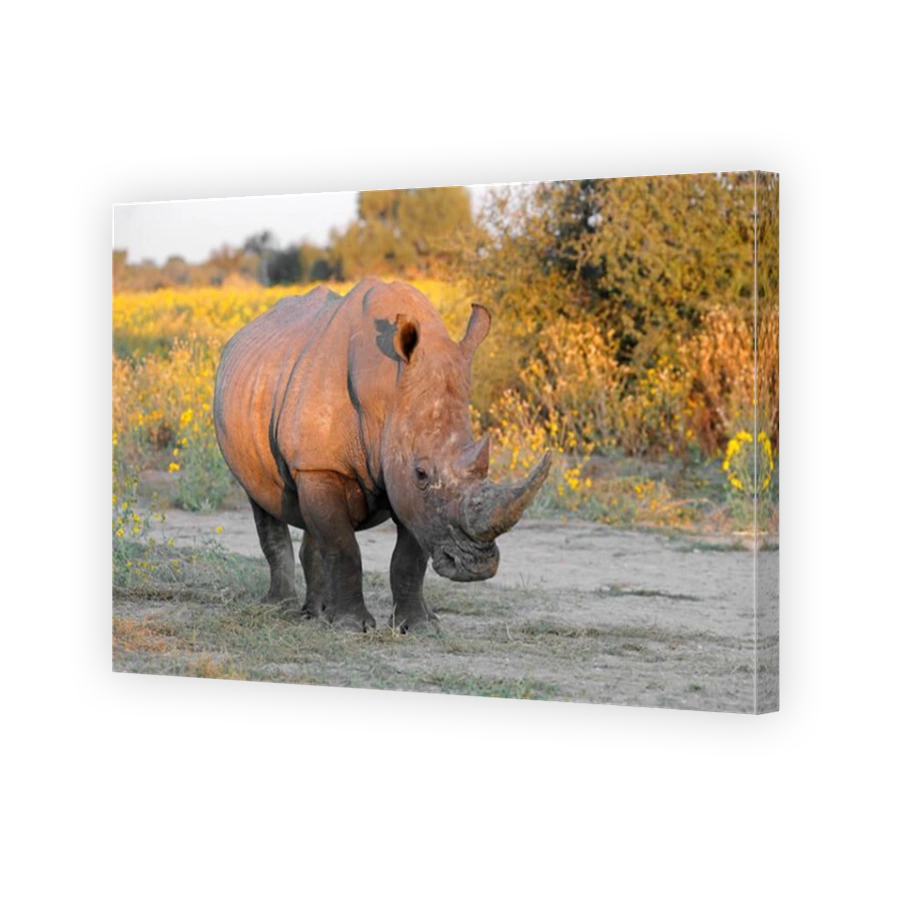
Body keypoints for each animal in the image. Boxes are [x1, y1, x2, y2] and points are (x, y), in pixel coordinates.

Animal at [213, 278, 550, 632]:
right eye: (421, 473)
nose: (476, 568)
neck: (387, 391)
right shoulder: (322, 466)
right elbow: (343, 546)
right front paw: (351, 626)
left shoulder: (405, 486)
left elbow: (408, 558)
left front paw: (417, 626)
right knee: (263, 500)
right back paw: (281, 608)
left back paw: (319, 612)